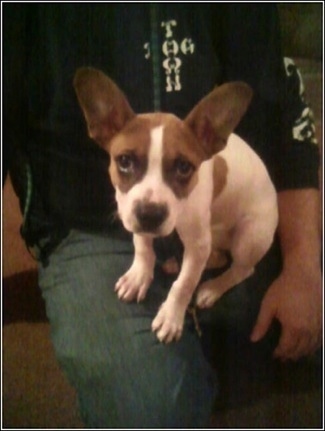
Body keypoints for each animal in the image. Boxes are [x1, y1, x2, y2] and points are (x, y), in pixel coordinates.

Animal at [74, 67, 278, 344]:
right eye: (124, 161)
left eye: (184, 167)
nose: (150, 215)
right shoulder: (135, 215)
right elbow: (142, 246)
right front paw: (139, 275)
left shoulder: (197, 243)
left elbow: (184, 285)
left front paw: (171, 316)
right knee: (217, 257)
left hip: (248, 239)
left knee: (242, 269)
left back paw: (212, 288)